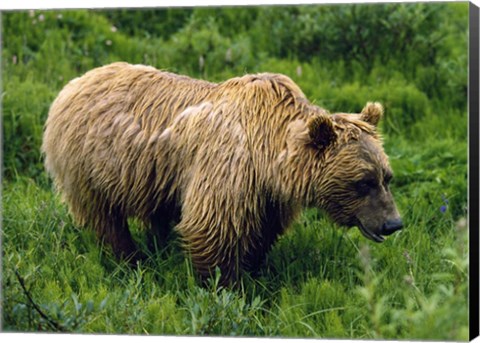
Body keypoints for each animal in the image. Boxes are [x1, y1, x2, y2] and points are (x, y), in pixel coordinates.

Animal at [42, 63, 402, 286]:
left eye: (387, 177)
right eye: (363, 182)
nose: (393, 223)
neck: (269, 154)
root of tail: (74, 83)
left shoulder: (268, 194)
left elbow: (262, 231)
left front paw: (255, 270)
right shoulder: (229, 164)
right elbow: (213, 227)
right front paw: (224, 285)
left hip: (154, 174)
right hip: (89, 165)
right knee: (105, 218)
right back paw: (129, 258)